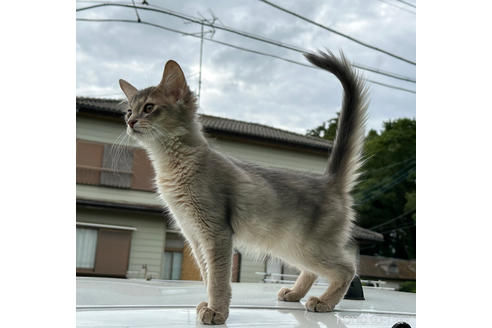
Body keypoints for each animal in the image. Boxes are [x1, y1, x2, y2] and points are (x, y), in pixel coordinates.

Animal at [118, 51, 366, 326]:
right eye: (129, 110)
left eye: (149, 108)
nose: (130, 121)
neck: (174, 165)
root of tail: (329, 180)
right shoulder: (195, 236)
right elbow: (207, 275)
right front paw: (210, 305)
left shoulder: (216, 232)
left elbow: (217, 277)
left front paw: (216, 311)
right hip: (290, 246)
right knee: (313, 271)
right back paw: (294, 293)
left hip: (309, 245)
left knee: (347, 268)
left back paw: (324, 302)